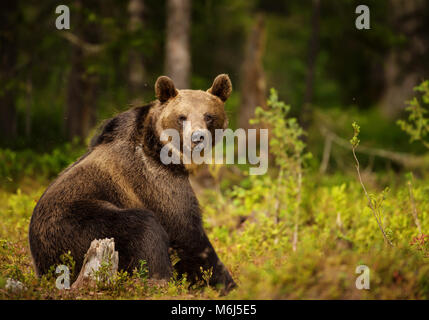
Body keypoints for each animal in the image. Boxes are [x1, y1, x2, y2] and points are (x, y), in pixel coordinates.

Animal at [28, 74, 236, 292]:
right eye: (182, 117)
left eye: (208, 116)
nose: (198, 137)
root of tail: (41, 267)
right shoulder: (155, 182)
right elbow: (187, 232)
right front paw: (226, 282)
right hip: (77, 226)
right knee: (142, 227)